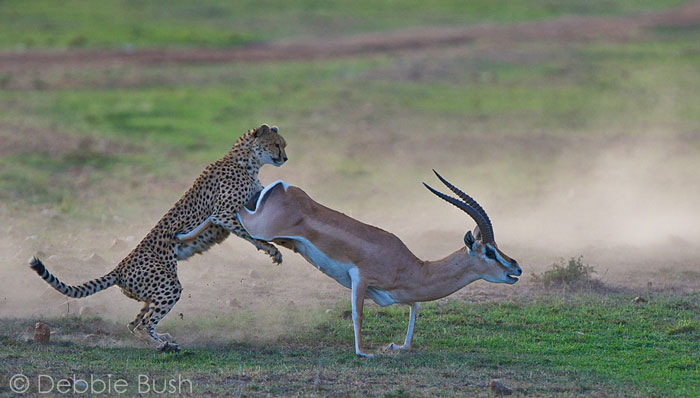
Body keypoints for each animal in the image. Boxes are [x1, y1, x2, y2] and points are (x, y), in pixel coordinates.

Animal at [29, 123, 288, 352]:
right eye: (277, 144)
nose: (284, 158)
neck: (246, 161)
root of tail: (118, 268)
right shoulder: (222, 214)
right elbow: (252, 235)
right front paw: (272, 250)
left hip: (152, 292)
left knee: (133, 324)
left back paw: (161, 339)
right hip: (168, 285)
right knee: (143, 325)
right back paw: (163, 346)